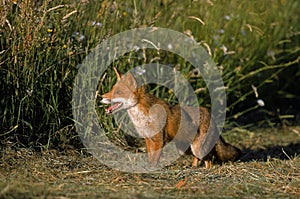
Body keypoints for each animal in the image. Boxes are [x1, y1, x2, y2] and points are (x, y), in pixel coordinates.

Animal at [101, 67, 241, 168]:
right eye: (111, 90)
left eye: (117, 92)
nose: (101, 97)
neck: (141, 117)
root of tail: (209, 114)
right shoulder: (148, 139)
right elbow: (150, 156)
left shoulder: (159, 140)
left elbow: (155, 158)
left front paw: (152, 169)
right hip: (185, 149)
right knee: (198, 159)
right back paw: (193, 168)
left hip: (197, 149)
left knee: (209, 159)